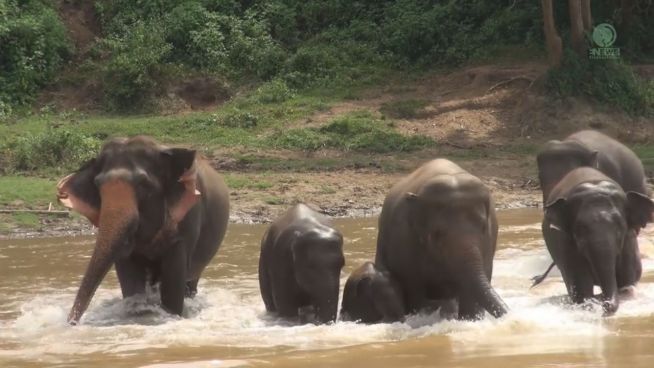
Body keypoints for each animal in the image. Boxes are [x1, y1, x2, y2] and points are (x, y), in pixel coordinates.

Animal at [57, 136, 231, 324]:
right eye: (97, 184)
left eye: (143, 184)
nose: (71, 322)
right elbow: (128, 274)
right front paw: (139, 313)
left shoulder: (189, 216)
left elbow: (173, 279)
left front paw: (171, 315)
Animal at [540, 168, 652, 314]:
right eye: (580, 229)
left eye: (620, 227)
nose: (605, 304)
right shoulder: (564, 241)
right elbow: (581, 283)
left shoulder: (629, 238)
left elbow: (627, 278)